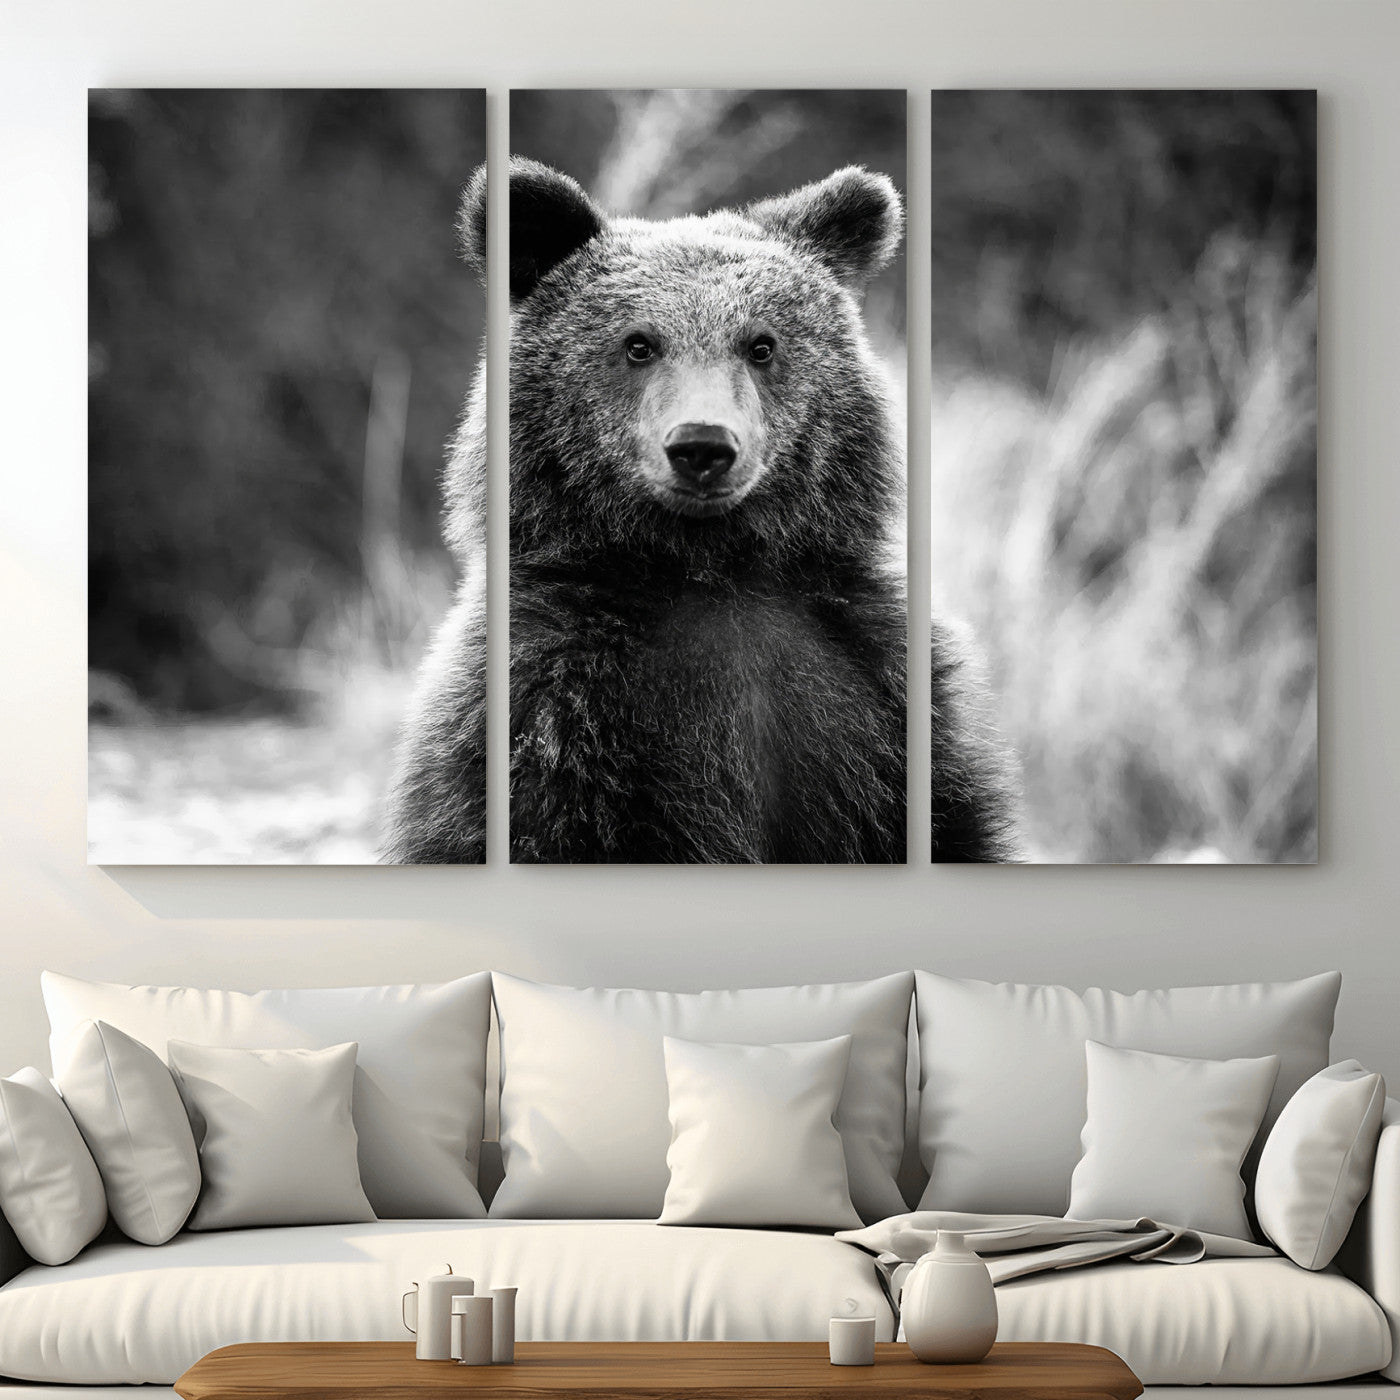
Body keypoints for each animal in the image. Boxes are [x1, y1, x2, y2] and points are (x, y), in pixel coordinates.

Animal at [384, 157, 1019, 864]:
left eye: (761, 344)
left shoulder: (877, 694)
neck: (710, 568)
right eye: (638, 344)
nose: (702, 446)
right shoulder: (553, 709)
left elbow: (948, 822)